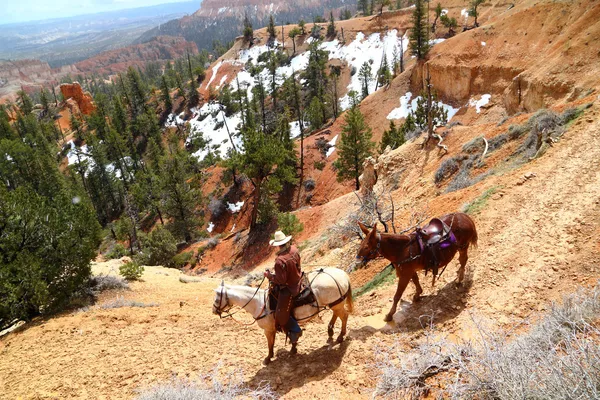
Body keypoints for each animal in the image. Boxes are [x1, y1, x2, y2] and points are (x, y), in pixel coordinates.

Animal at [212, 268, 352, 364]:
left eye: (217, 297)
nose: (214, 310)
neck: (259, 303)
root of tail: (342, 274)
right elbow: (289, 335)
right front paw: (293, 349)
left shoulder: (268, 329)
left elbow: (270, 343)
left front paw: (268, 358)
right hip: (335, 304)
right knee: (337, 314)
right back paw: (330, 331)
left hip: (337, 304)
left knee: (344, 316)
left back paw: (340, 336)